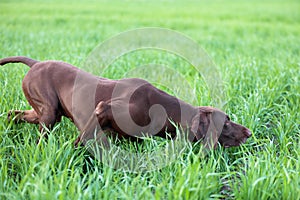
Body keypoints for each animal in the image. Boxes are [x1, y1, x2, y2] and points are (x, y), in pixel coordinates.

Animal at [0, 56, 251, 147]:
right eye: (226, 122)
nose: (249, 133)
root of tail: (35, 63)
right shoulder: (104, 109)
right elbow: (83, 138)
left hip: (44, 111)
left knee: (14, 114)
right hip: (49, 112)